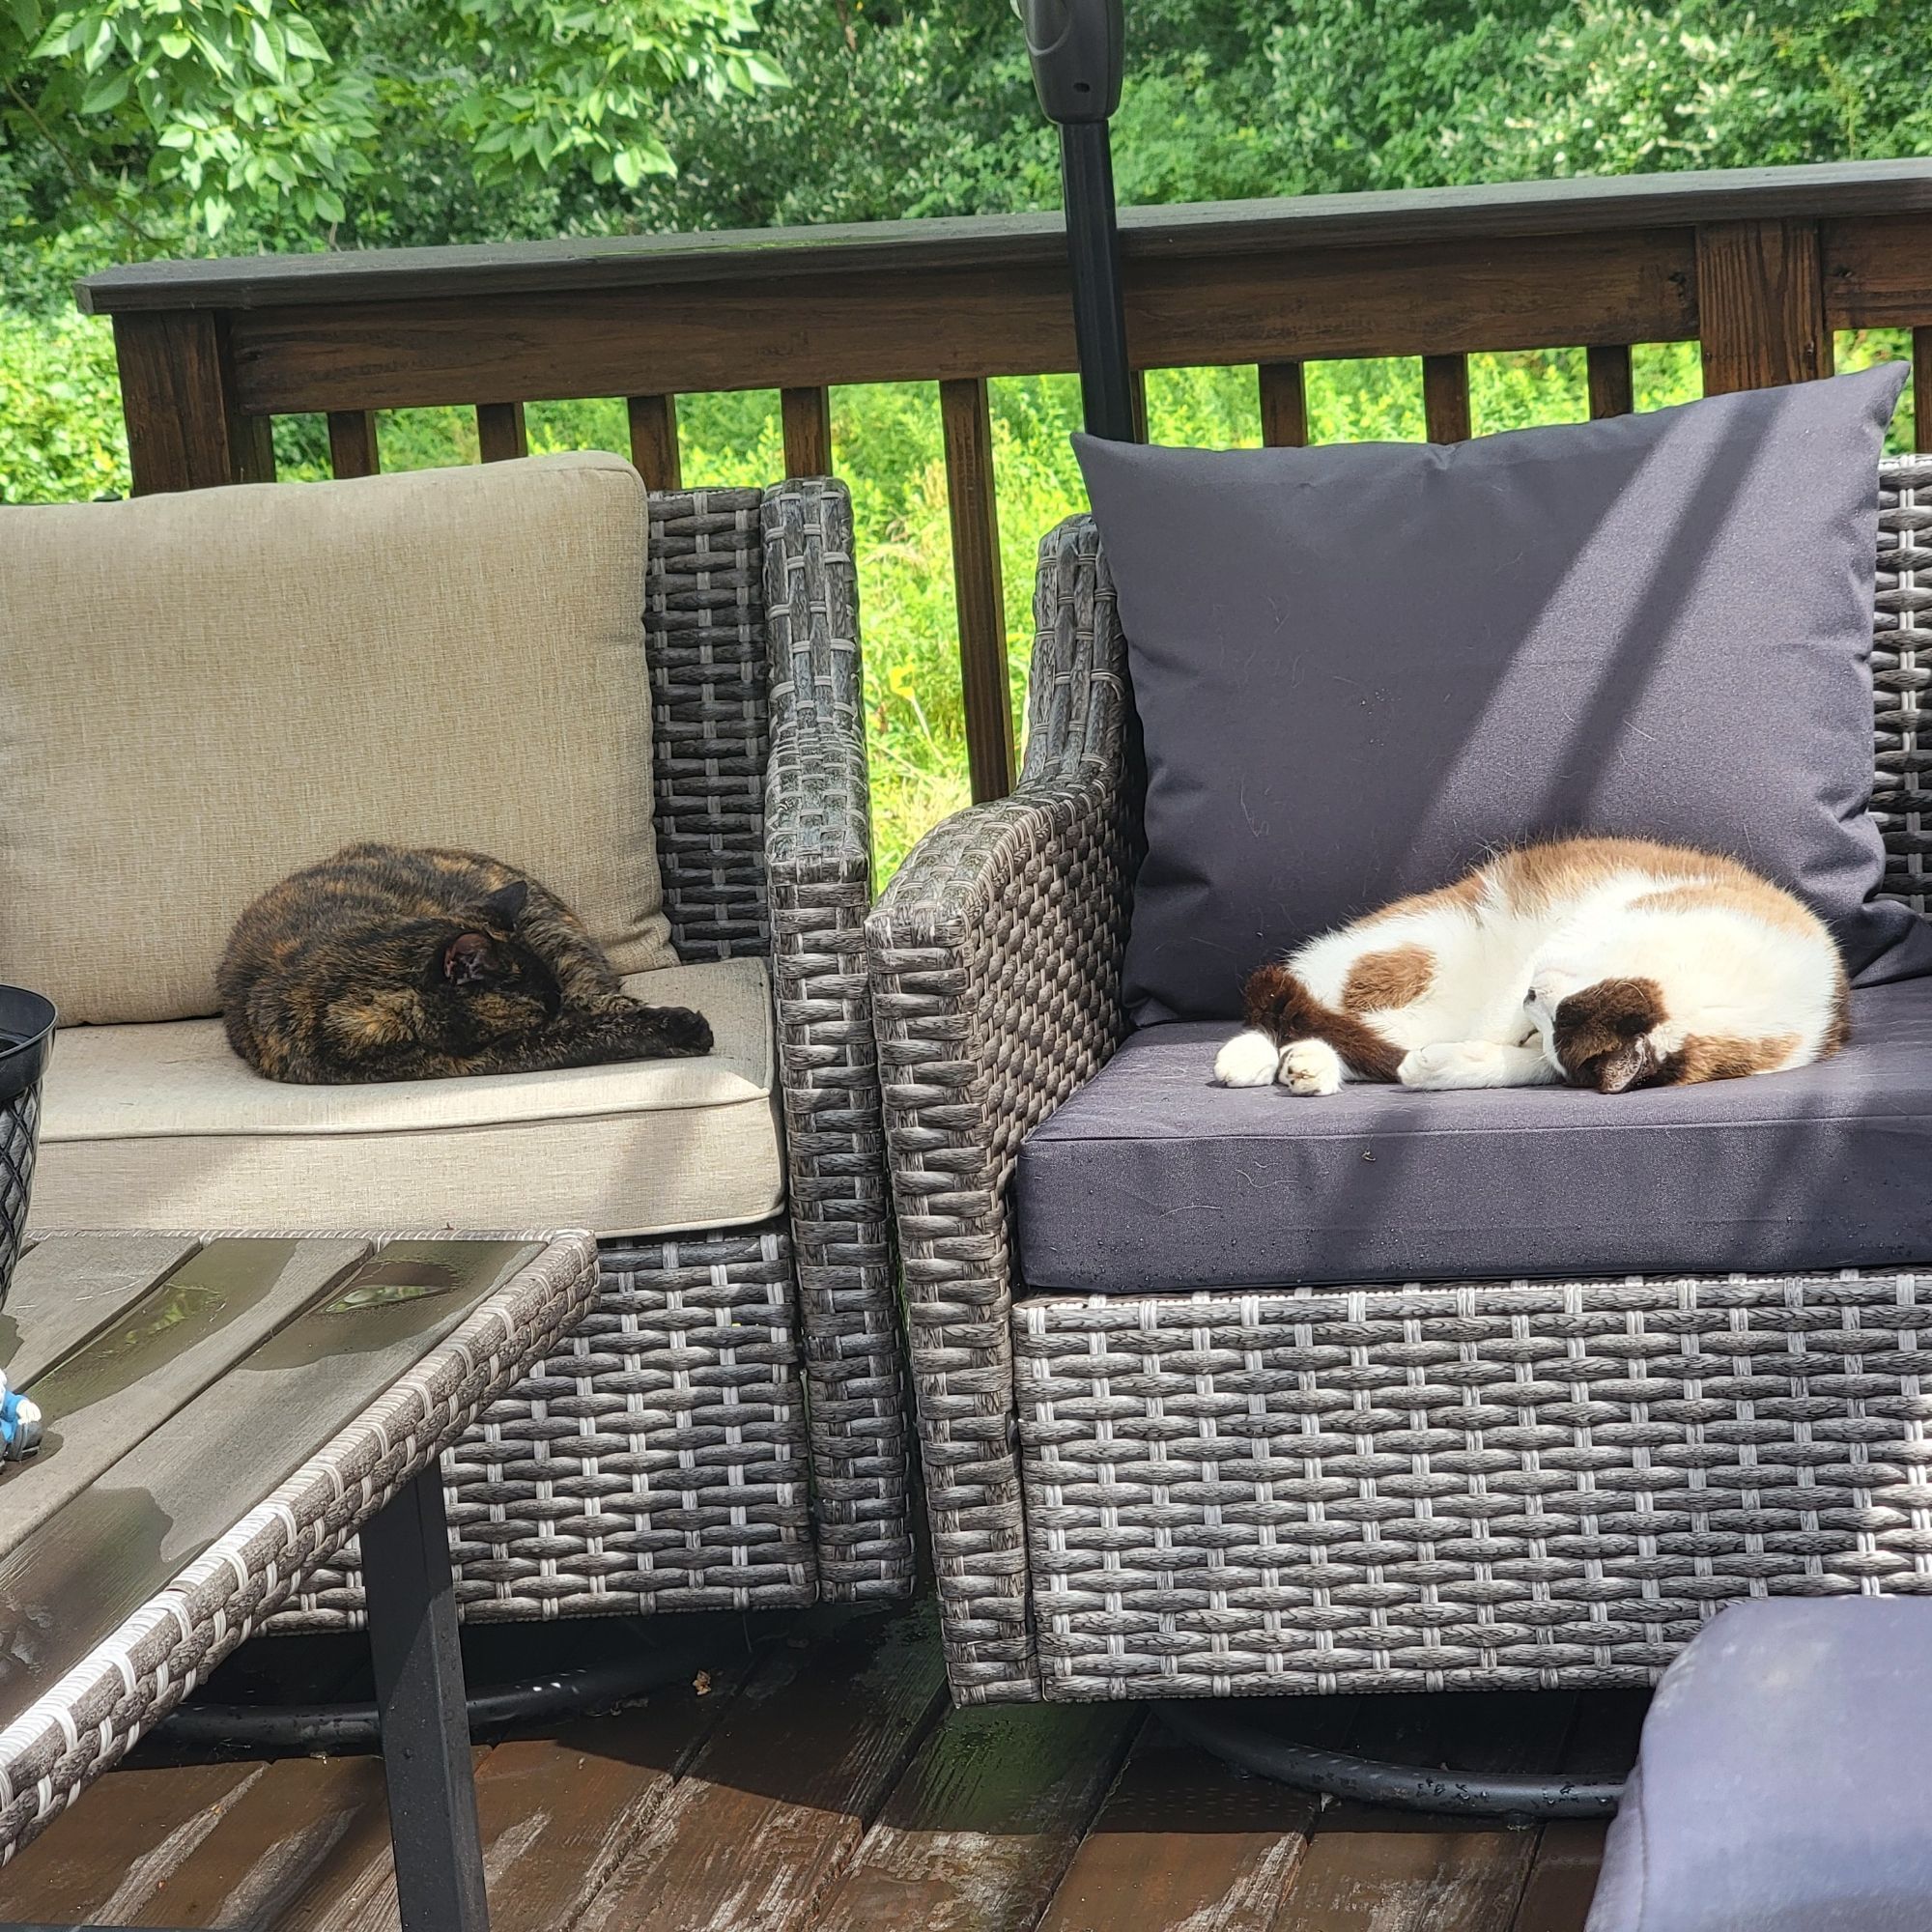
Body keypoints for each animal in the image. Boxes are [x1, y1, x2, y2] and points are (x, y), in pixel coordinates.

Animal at [219, 846, 715, 1090]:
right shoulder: (479, 1057)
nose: (561, 1010)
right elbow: (587, 1037)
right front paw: (681, 1028)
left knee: (596, 987)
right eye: (541, 1013)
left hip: (555, 936)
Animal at [1213, 835, 1847, 1097]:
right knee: (1301, 1004)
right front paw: (1435, 1064)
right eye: (1551, 1002)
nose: (1532, 998)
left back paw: (1308, 1068)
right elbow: (1492, 1029)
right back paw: (1250, 1059)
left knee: (1339, 1031)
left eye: (1551, 1024)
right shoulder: (1565, 940)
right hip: (1418, 949)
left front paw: (1444, 1067)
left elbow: (1528, 1066)